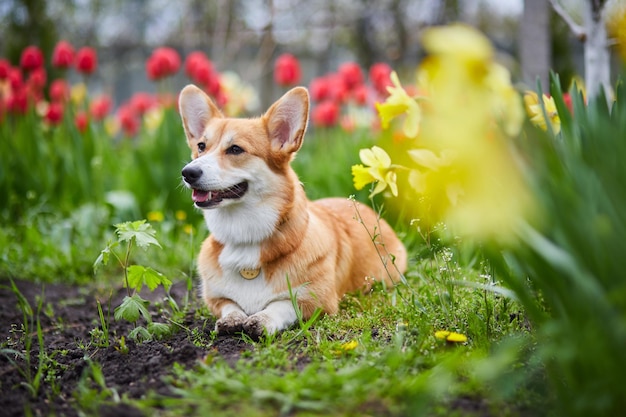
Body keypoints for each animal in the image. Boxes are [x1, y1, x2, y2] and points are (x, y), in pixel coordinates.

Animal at [178, 84, 408, 338]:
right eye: (201, 147)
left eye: (235, 149)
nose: (188, 172)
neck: (246, 239)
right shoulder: (216, 299)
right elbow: (231, 305)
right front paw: (233, 319)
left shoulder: (317, 301)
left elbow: (282, 304)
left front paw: (262, 319)